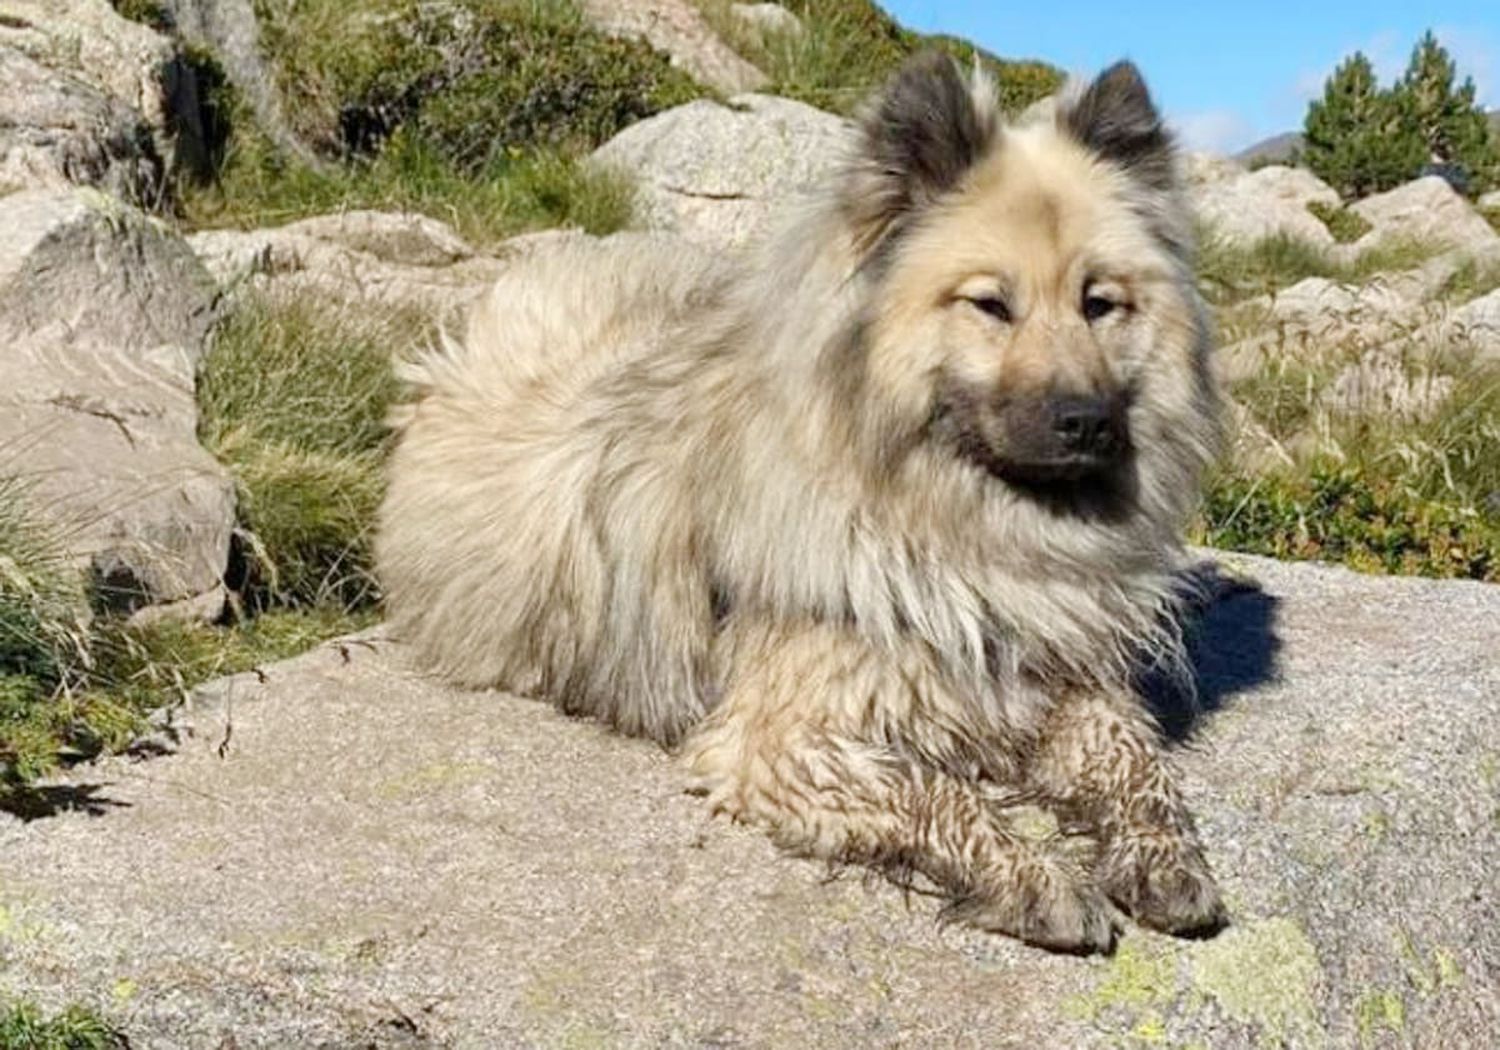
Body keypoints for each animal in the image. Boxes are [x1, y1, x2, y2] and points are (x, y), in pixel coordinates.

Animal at [372, 55, 1218, 954]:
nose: (1087, 420)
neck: (956, 525)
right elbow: (936, 792)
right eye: (991, 304)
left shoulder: (1059, 674)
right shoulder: (779, 742)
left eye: (1101, 302)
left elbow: (1132, 755)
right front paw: (1037, 878)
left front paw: (1162, 855)